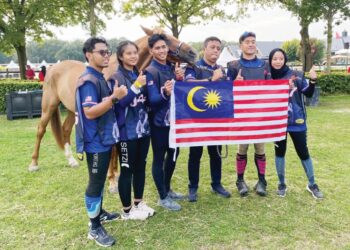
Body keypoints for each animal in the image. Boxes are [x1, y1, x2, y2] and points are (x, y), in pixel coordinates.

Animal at [28, 26, 197, 192]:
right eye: (164, 37)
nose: (192, 53)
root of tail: (53, 68)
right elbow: (113, 148)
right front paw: (111, 180)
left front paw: (115, 174)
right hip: (49, 105)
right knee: (40, 130)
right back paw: (34, 164)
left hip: (72, 109)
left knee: (65, 130)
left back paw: (71, 161)